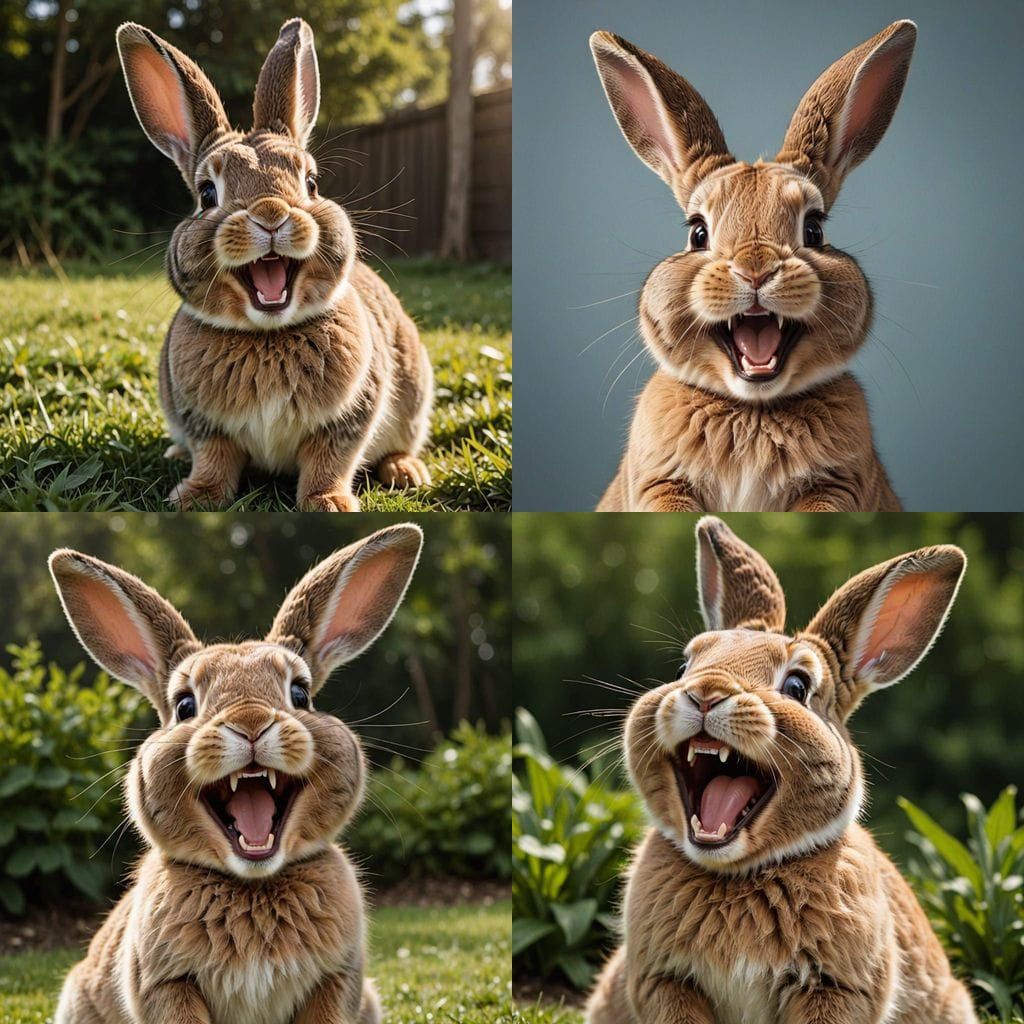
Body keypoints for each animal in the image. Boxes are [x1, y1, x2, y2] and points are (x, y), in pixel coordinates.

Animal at [49, 523, 424, 1024]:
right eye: (185, 706)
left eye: (300, 694)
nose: (250, 723)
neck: (252, 882)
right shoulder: (166, 985)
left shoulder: (336, 979)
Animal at [115, 19, 433, 511]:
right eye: (207, 194)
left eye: (311, 183)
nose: (270, 213)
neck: (267, 335)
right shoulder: (206, 426)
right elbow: (214, 459)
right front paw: (194, 498)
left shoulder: (348, 418)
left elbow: (329, 461)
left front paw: (329, 503)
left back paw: (406, 471)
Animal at [585, 516, 978, 1024]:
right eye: (684, 667)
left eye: (797, 686)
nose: (705, 693)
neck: (739, 874)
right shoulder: (664, 982)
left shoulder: (836, 988)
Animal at [589, 22, 918, 511]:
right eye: (698, 233)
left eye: (814, 230)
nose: (756, 270)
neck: (752, 408)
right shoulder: (658, 482)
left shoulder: (839, 484)